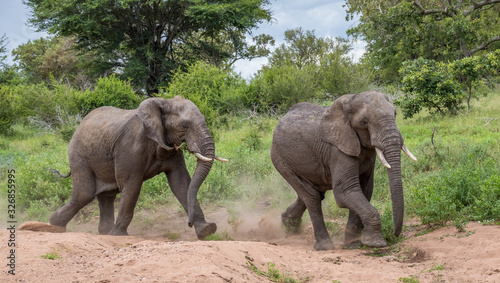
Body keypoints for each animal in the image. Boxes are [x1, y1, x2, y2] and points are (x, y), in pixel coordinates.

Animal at [22, 97, 227, 240]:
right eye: (184, 125)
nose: (189, 223)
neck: (161, 103)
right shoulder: (130, 148)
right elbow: (132, 185)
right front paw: (119, 236)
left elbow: (181, 184)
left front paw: (207, 230)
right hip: (78, 155)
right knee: (84, 194)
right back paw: (53, 224)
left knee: (106, 195)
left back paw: (103, 232)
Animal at [272, 91, 416, 251]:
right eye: (364, 122)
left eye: (395, 114)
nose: (396, 233)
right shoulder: (338, 150)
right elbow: (345, 191)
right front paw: (375, 243)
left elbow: (364, 190)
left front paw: (352, 244)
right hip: (280, 159)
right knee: (312, 197)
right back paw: (325, 246)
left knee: (311, 192)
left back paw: (289, 225)